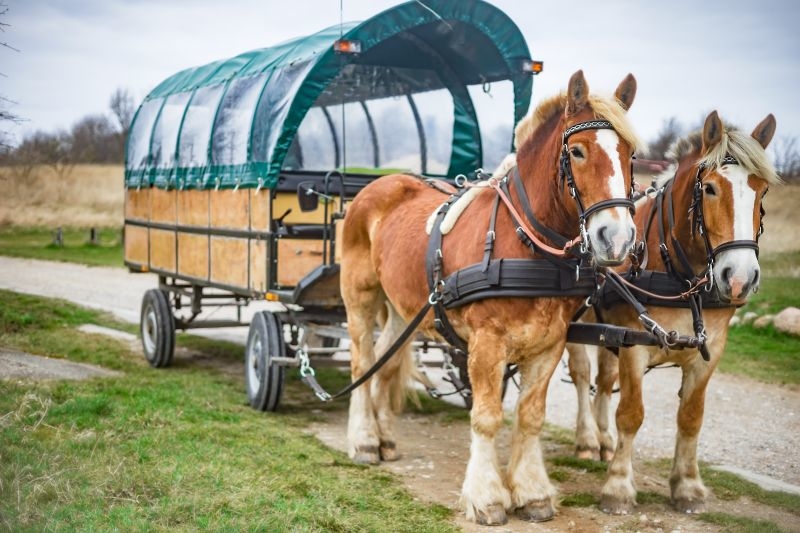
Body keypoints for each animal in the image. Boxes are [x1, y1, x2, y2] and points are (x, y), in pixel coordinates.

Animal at [340, 70, 640, 524]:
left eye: (630, 154)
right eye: (577, 151)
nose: (617, 238)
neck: (527, 244)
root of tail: (383, 182)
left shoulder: (548, 344)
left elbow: (530, 417)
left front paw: (532, 492)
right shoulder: (486, 345)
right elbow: (485, 417)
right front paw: (486, 496)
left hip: (404, 309)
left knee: (386, 364)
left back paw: (385, 438)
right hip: (360, 296)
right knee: (362, 361)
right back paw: (362, 440)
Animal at [564, 110, 780, 512]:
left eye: (761, 189)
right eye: (709, 189)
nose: (739, 278)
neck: (681, 277)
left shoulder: (710, 351)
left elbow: (691, 418)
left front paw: (688, 486)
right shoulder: (635, 345)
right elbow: (631, 414)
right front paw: (618, 486)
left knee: (604, 379)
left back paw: (603, 441)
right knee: (583, 375)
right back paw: (586, 440)